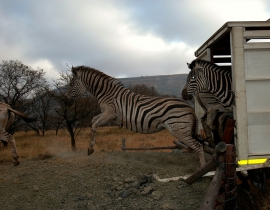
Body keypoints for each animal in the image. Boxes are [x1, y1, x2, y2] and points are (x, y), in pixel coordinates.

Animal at [64, 66, 206, 167]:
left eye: (71, 84)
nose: (65, 101)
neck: (105, 93)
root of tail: (189, 107)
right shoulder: (108, 114)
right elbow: (93, 121)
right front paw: (91, 147)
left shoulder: (110, 113)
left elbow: (94, 124)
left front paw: (90, 148)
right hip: (183, 130)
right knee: (196, 146)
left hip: (179, 129)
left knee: (199, 147)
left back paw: (202, 170)